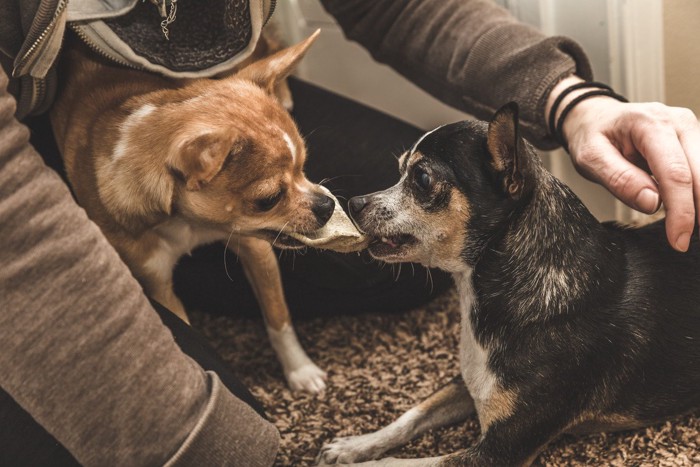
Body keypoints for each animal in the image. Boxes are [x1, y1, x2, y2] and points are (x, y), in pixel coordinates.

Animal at [50, 30, 336, 394]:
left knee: (270, 43)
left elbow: (278, 316)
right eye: (268, 199)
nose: (327, 205)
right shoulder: (158, 286)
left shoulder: (255, 248)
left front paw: (300, 369)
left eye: (303, 168)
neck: (190, 226)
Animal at [318, 104, 700, 466]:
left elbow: (397, 463)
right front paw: (354, 445)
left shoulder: (498, 451)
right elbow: (412, 416)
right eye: (399, 171)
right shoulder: (468, 382)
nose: (353, 203)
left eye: (422, 178)